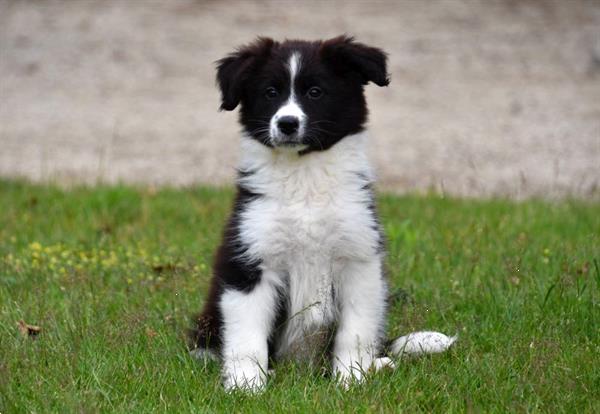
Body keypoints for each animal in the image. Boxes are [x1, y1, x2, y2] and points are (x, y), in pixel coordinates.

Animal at [189, 34, 454, 392]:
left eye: (315, 92)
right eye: (270, 92)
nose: (287, 123)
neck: (305, 179)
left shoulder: (358, 260)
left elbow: (355, 332)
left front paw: (351, 379)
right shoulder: (249, 262)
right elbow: (247, 337)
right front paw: (247, 385)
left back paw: (378, 363)